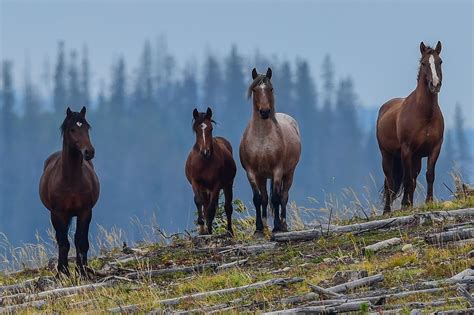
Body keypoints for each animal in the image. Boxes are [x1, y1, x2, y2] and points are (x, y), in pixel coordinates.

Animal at [39, 107, 100, 276]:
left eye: (87, 127)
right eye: (72, 129)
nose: (89, 152)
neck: (71, 180)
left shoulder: (85, 211)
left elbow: (81, 241)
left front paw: (82, 271)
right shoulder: (59, 213)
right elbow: (64, 243)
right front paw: (63, 272)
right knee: (62, 240)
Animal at [185, 107, 237, 236]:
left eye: (211, 129)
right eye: (196, 130)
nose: (205, 152)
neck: (205, 162)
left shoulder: (216, 185)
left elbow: (211, 209)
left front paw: (208, 230)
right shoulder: (195, 182)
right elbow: (199, 202)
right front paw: (202, 228)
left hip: (227, 185)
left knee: (227, 207)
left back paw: (229, 231)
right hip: (205, 189)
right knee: (205, 205)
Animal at [239, 68, 302, 235]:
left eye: (271, 89)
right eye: (255, 89)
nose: (265, 112)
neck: (262, 140)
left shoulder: (277, 171)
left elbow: (276, 198)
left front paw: (276, 227)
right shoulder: (253, 173)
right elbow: (258, 199)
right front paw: (259, 228)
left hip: (289, 173)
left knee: (283, 196)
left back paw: (283, 225)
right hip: (264, 177)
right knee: (265, 198)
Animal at [378, 42, 444, 214]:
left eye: (440, 61)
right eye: (424, 63)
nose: (435, 85)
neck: (425, 114)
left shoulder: (435, 148)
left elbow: (429, 175)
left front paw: (429, 202)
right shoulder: (406, 150)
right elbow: (407, 179)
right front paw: (404, 205)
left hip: (416, 158)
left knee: (412, 179)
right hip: (387, 155)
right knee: (390, 181)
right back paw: (387, 210)